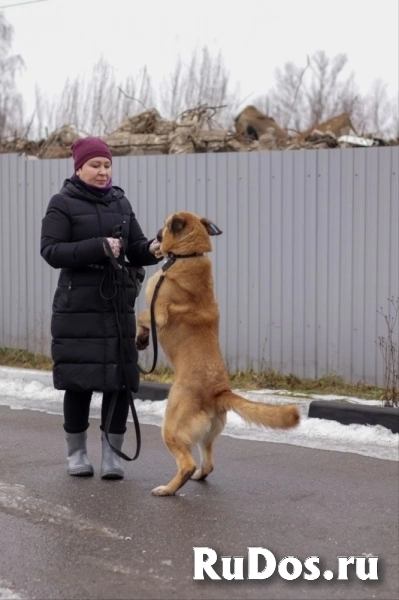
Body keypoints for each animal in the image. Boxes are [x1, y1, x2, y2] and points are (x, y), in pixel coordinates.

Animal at [137, 212, 300, 496]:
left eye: (166, 224)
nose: (154, 235)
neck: (189, 255)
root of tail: (218, 391)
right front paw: (142, 339)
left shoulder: (157, 315)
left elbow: (140, 315)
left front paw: (140, 336)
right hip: (206, 435)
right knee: (208, 464)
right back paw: (197, 477)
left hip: (172, 428)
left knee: (187, 464)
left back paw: (168, 489)